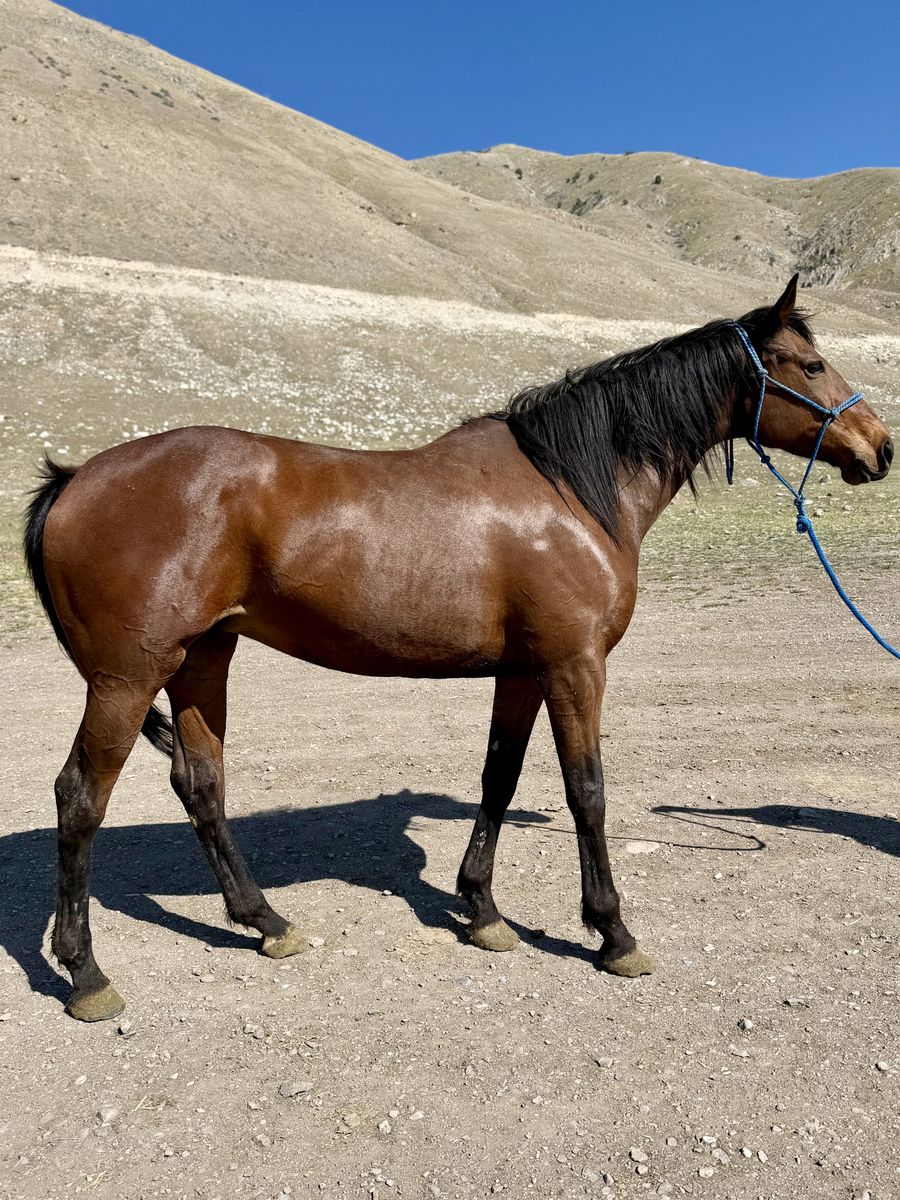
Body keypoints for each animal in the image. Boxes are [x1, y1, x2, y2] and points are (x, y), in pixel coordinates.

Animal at [23, 275, 893, 1021]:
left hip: (203, 659)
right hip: (129, 676)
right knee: (80, 797)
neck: (570, 488)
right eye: (811, 364)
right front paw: (612, 934)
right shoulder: (575, 666)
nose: (880, 446)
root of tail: (74, 480)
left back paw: (265, 921)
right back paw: (87, 974)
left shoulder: (523, 671)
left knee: (200, 783)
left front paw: (481, 909)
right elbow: (588, 791)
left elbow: (498, 780)